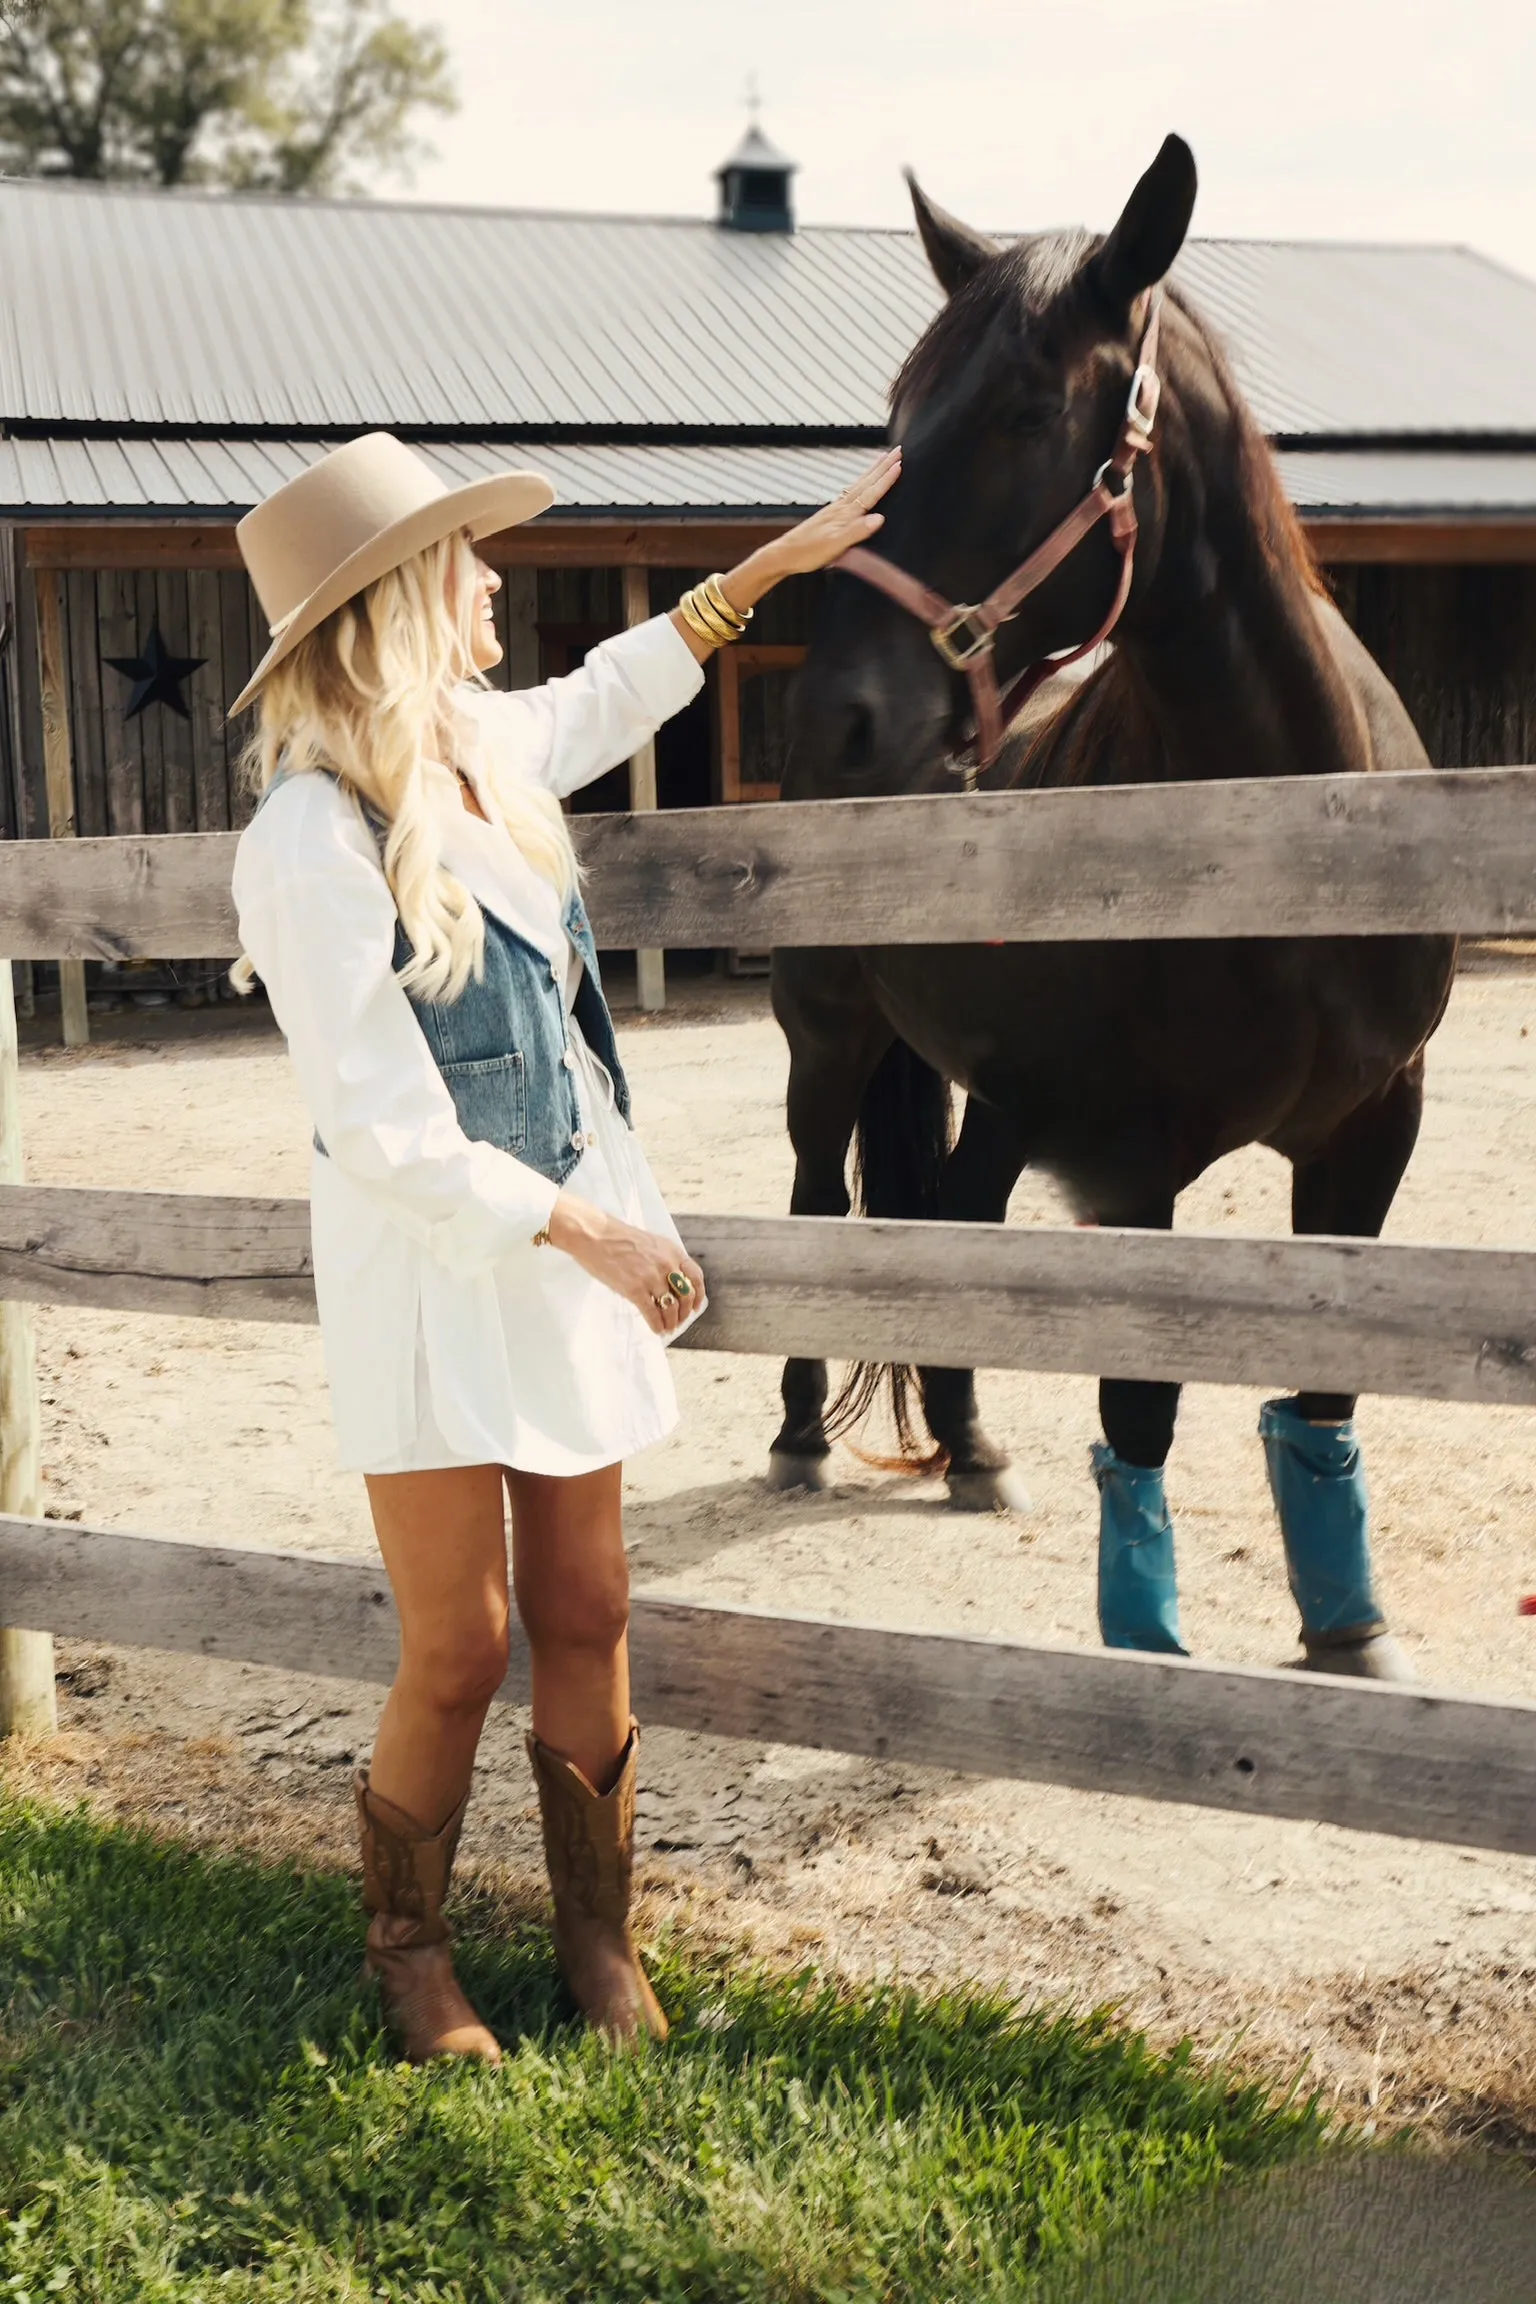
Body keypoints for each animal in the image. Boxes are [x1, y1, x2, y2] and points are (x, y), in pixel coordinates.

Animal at [769, 134, 1455, 1686]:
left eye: (1026, 411)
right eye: (896, 415)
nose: (839, 722)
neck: (1284, 851)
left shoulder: (1374, 1130)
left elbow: (1328, 1395)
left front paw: (1349, 1634)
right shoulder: (1134, 1168)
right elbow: (1141, 1410)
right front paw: (1145, 1654)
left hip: (1005, 1094)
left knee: (953, 1227)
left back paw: (970, 1446)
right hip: (829, 1045)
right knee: (815, 1201)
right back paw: (796, 1436)